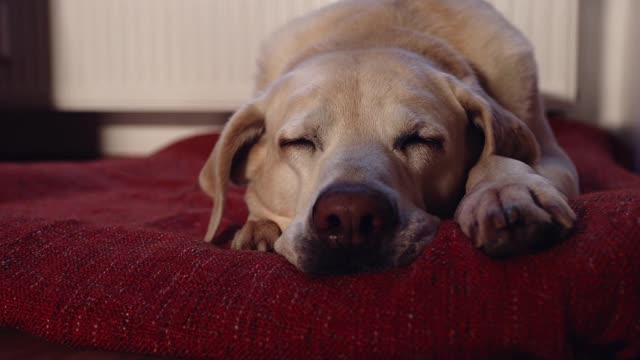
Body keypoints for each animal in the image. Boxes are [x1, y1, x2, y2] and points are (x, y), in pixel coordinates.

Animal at [199, 0, 580, 274]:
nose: (350, 216)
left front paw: (503, 190)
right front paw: (256, 229)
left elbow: (499, 157)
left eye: (421, 140)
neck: (375, 30)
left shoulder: (553, 158)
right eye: (298, 142)